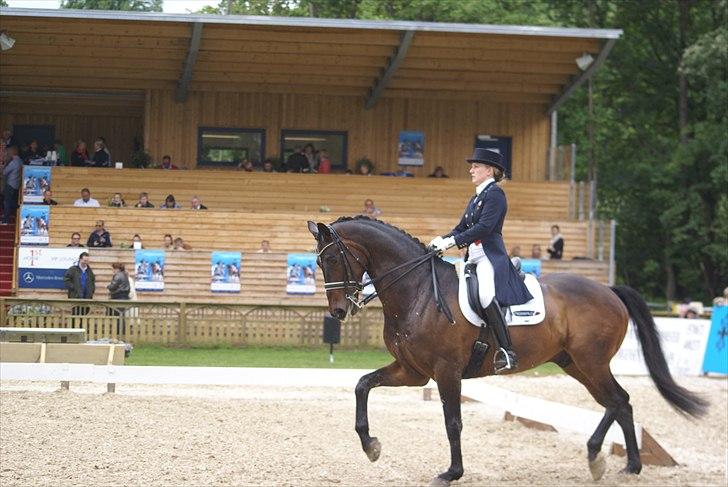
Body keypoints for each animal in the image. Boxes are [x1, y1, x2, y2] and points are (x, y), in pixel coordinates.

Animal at [306, 218, 704, 487]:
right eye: (319, 263)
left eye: (335, 259)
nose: (338, 311)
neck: (417, 291)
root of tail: (608, 289)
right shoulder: (412, 371)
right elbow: (362, 385)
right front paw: (370, 445)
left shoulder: (446, 371)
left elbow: (453, 422)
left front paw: (451, 472)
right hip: (575, 364)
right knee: (618, 403)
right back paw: (624, 464)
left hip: (591, 362)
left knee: (618, 400)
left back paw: (604, 457)